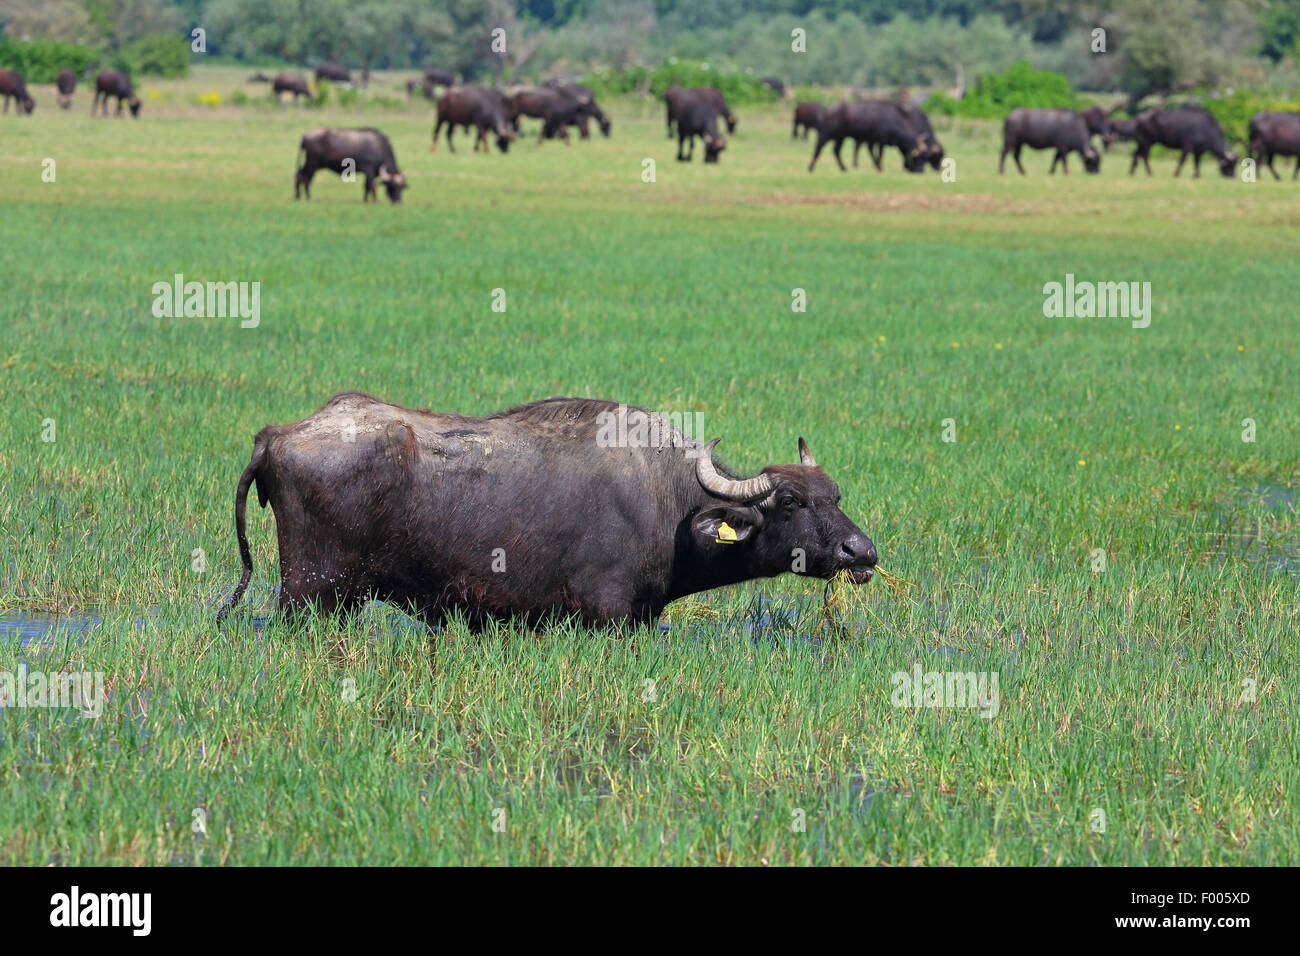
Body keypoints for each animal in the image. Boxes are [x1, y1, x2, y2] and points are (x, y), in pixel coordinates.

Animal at [218, 392, 878, 632]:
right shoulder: (608, 617)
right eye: (790, 502)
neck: (667, 503)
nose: (862, 552)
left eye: (836, 496)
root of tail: (277, 436)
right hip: (309, 595)